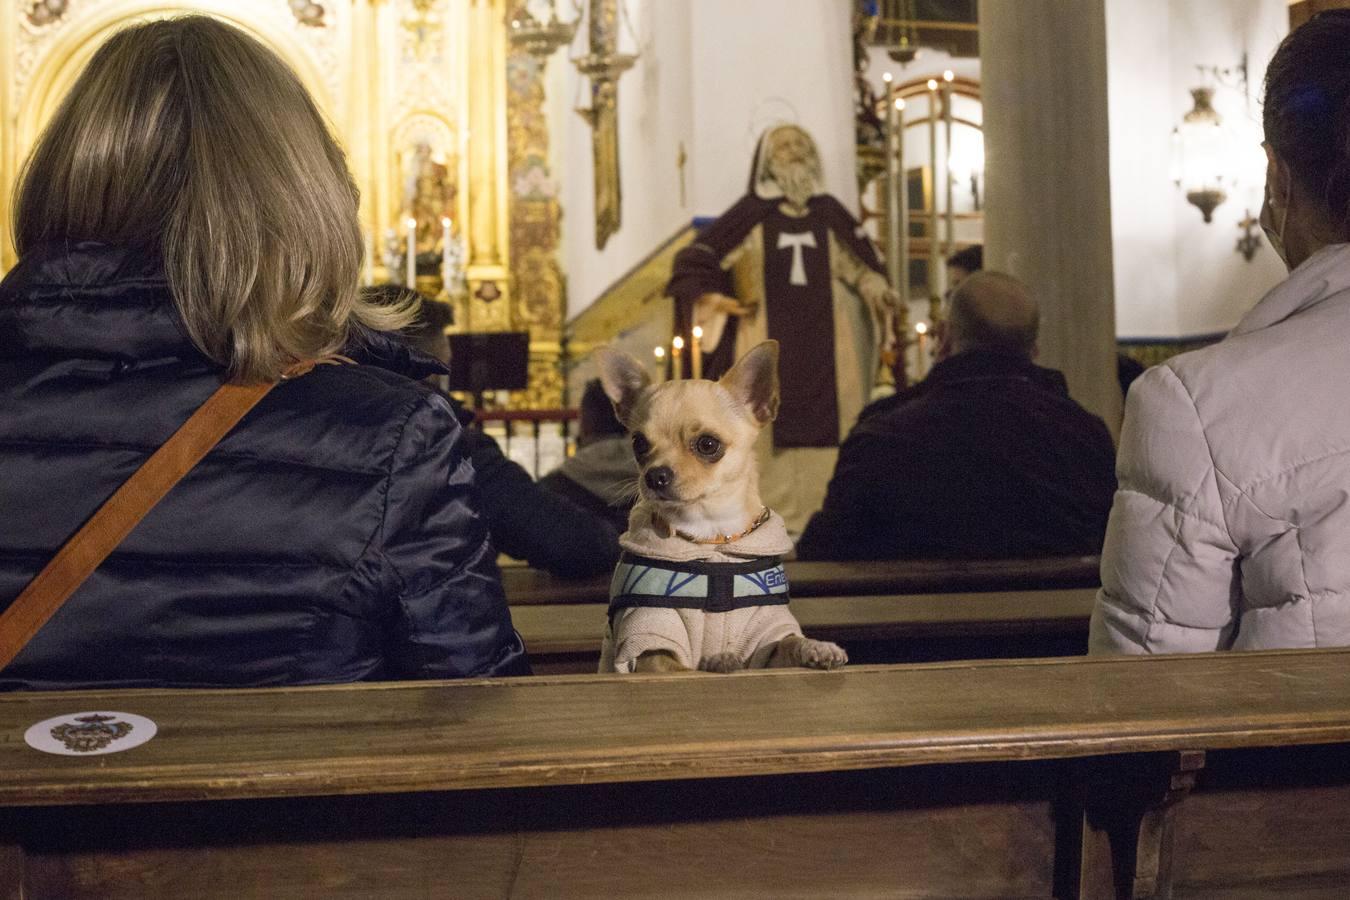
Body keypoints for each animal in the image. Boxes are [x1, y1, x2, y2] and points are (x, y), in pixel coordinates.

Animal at [596, 341, 847, 671]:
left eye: (707, 444)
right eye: (638, 444)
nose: (654, 475)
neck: (711, 536)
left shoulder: (766, 641)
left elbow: (789, 642)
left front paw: (815, 647)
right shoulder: (651, 641)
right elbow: (684, 668)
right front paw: (716, 660)